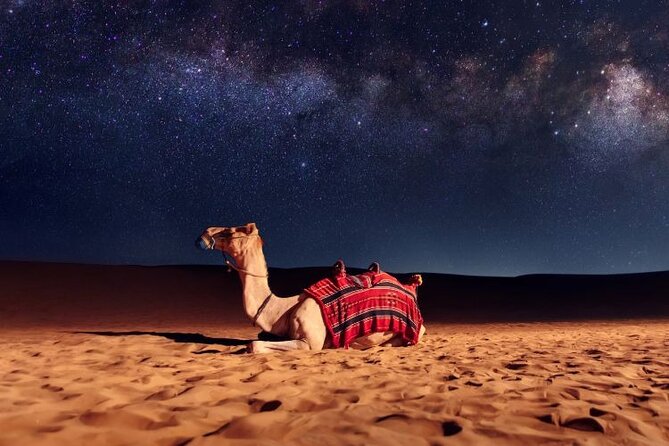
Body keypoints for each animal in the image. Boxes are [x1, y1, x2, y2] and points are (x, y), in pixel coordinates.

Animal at [196, 223, 426, 353]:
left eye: (231, 231)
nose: (204, 234)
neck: (283, 310)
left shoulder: (309, 342)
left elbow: (253, 345)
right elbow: (257, 339)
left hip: (415, 330)